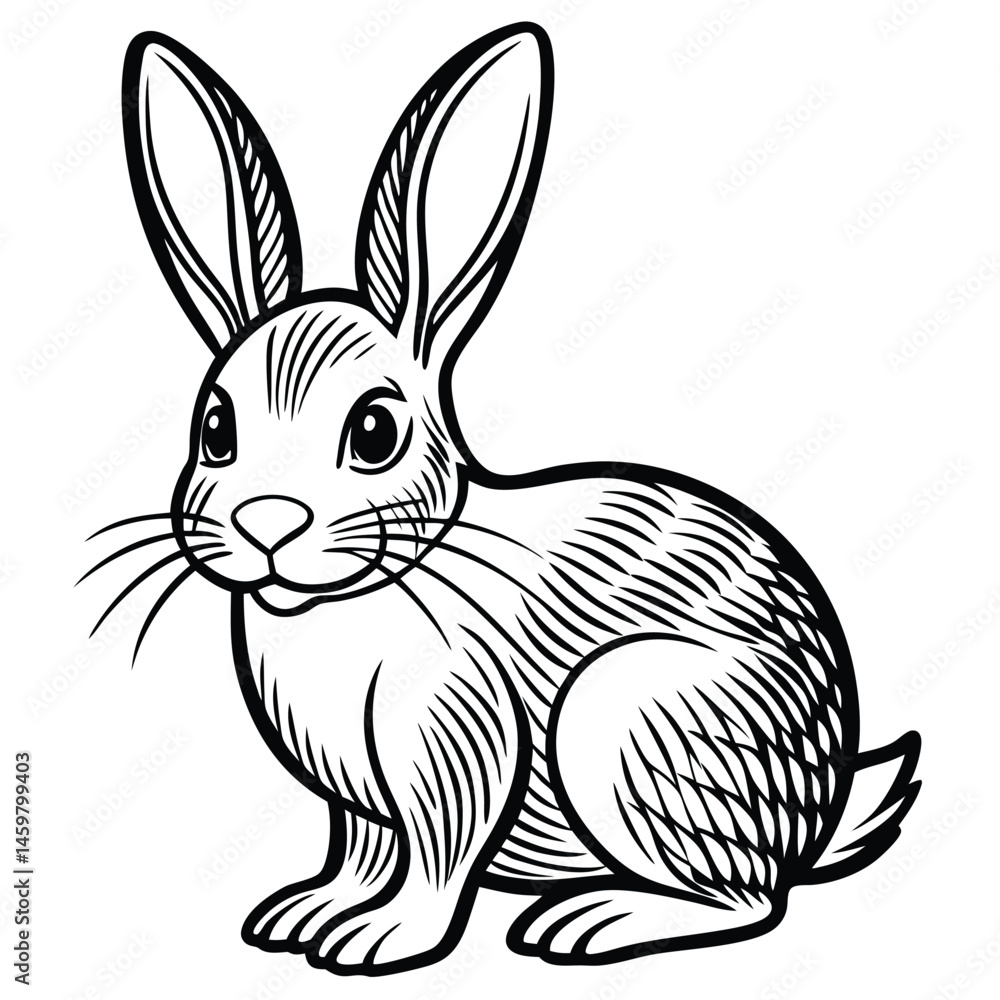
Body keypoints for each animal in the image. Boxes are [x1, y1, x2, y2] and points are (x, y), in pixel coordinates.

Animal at [106, 23, 921, 975]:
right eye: (216, 428)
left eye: (376, 431)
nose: (265, 523)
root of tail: (818, 809)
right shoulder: (357, 799)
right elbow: (358, 854)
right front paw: (304, 917)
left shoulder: (458, 741)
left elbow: (437, 857)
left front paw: (378, 941)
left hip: (633, 727)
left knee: (749, 900)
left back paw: (591, 920)